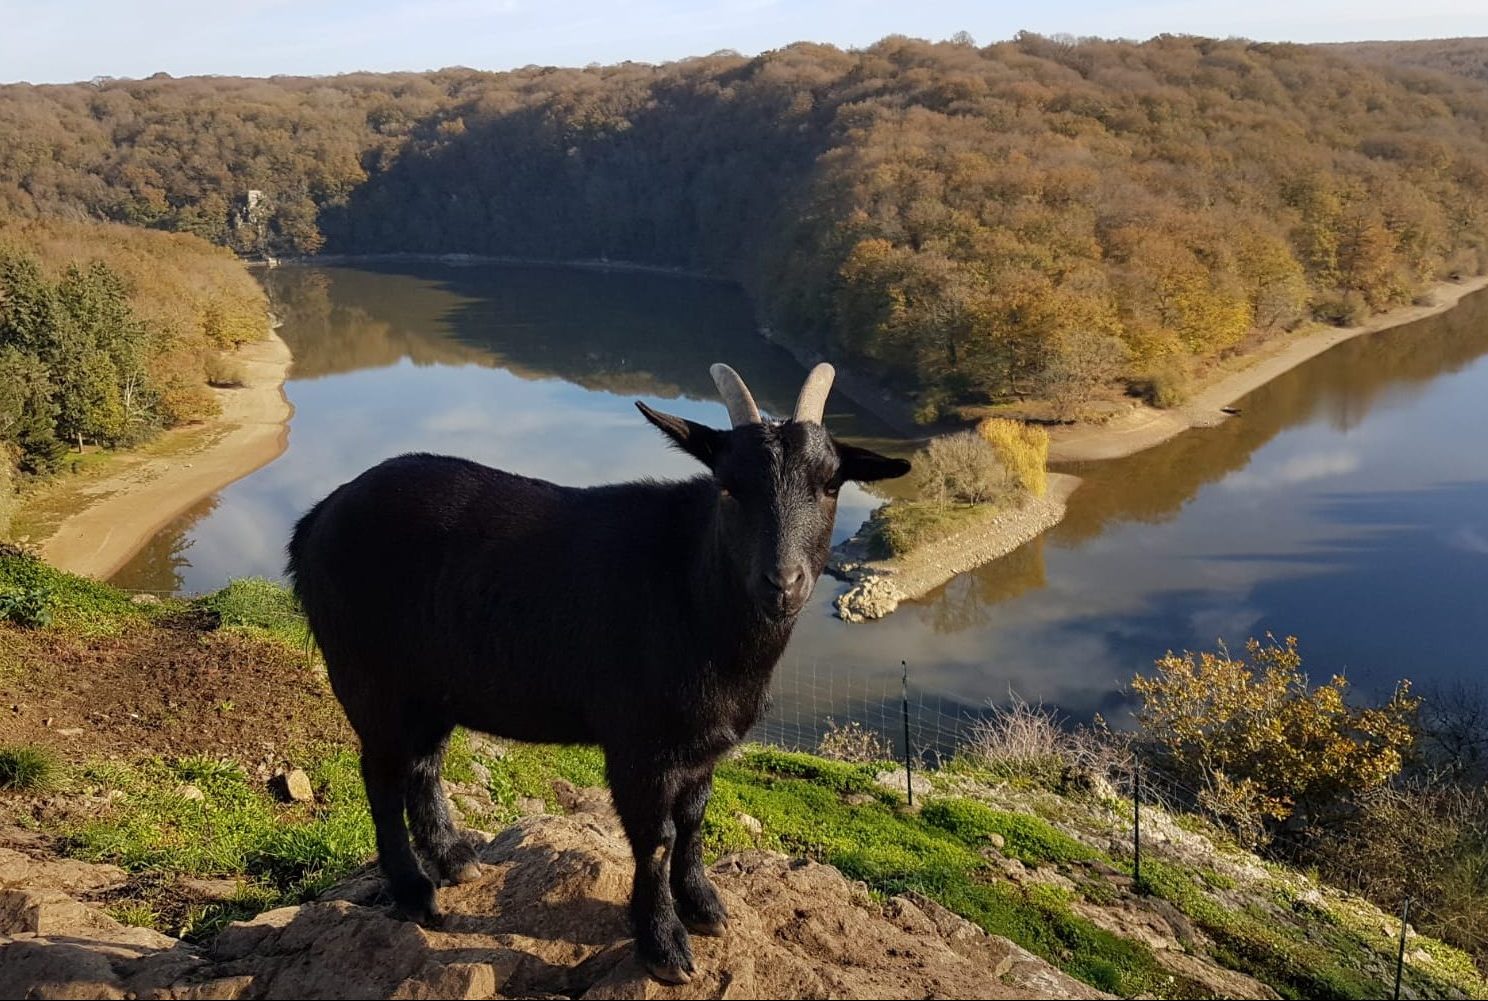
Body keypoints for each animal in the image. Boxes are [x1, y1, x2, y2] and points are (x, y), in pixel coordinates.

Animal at [284, 362, 898, 981]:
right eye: (728, 487)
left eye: (830, 485)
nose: (784, 582)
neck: (691, 586)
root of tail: (315, 520)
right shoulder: (638, 741)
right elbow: (657, 837)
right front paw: (663, 945)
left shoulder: (704, 744)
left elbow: (694, 819)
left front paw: (704, 906)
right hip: (367, 674)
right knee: (381, 773)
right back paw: (413, 891)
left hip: (432, 687)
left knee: (422, 763)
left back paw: (456, 859)